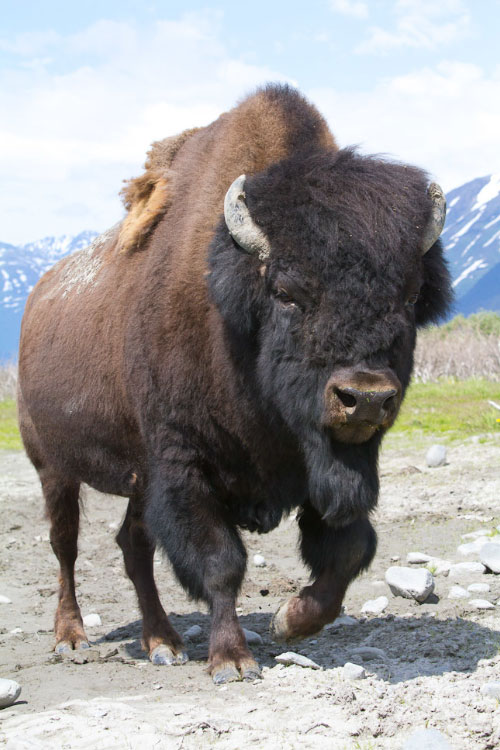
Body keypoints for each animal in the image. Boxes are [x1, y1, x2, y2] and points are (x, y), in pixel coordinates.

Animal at [18, 84, 452, 684]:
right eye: (287, 292)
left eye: (410, 297)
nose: (364, 397)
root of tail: (38, 300)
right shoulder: (185, 464)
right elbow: (221, 562)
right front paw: (232, 660)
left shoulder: (332, 466)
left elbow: (349, 549)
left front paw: (289, 623)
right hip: (54, 466)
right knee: (66, 544)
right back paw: (71, 637)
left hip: (136, 479)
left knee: (132, 545)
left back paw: (163, 642)